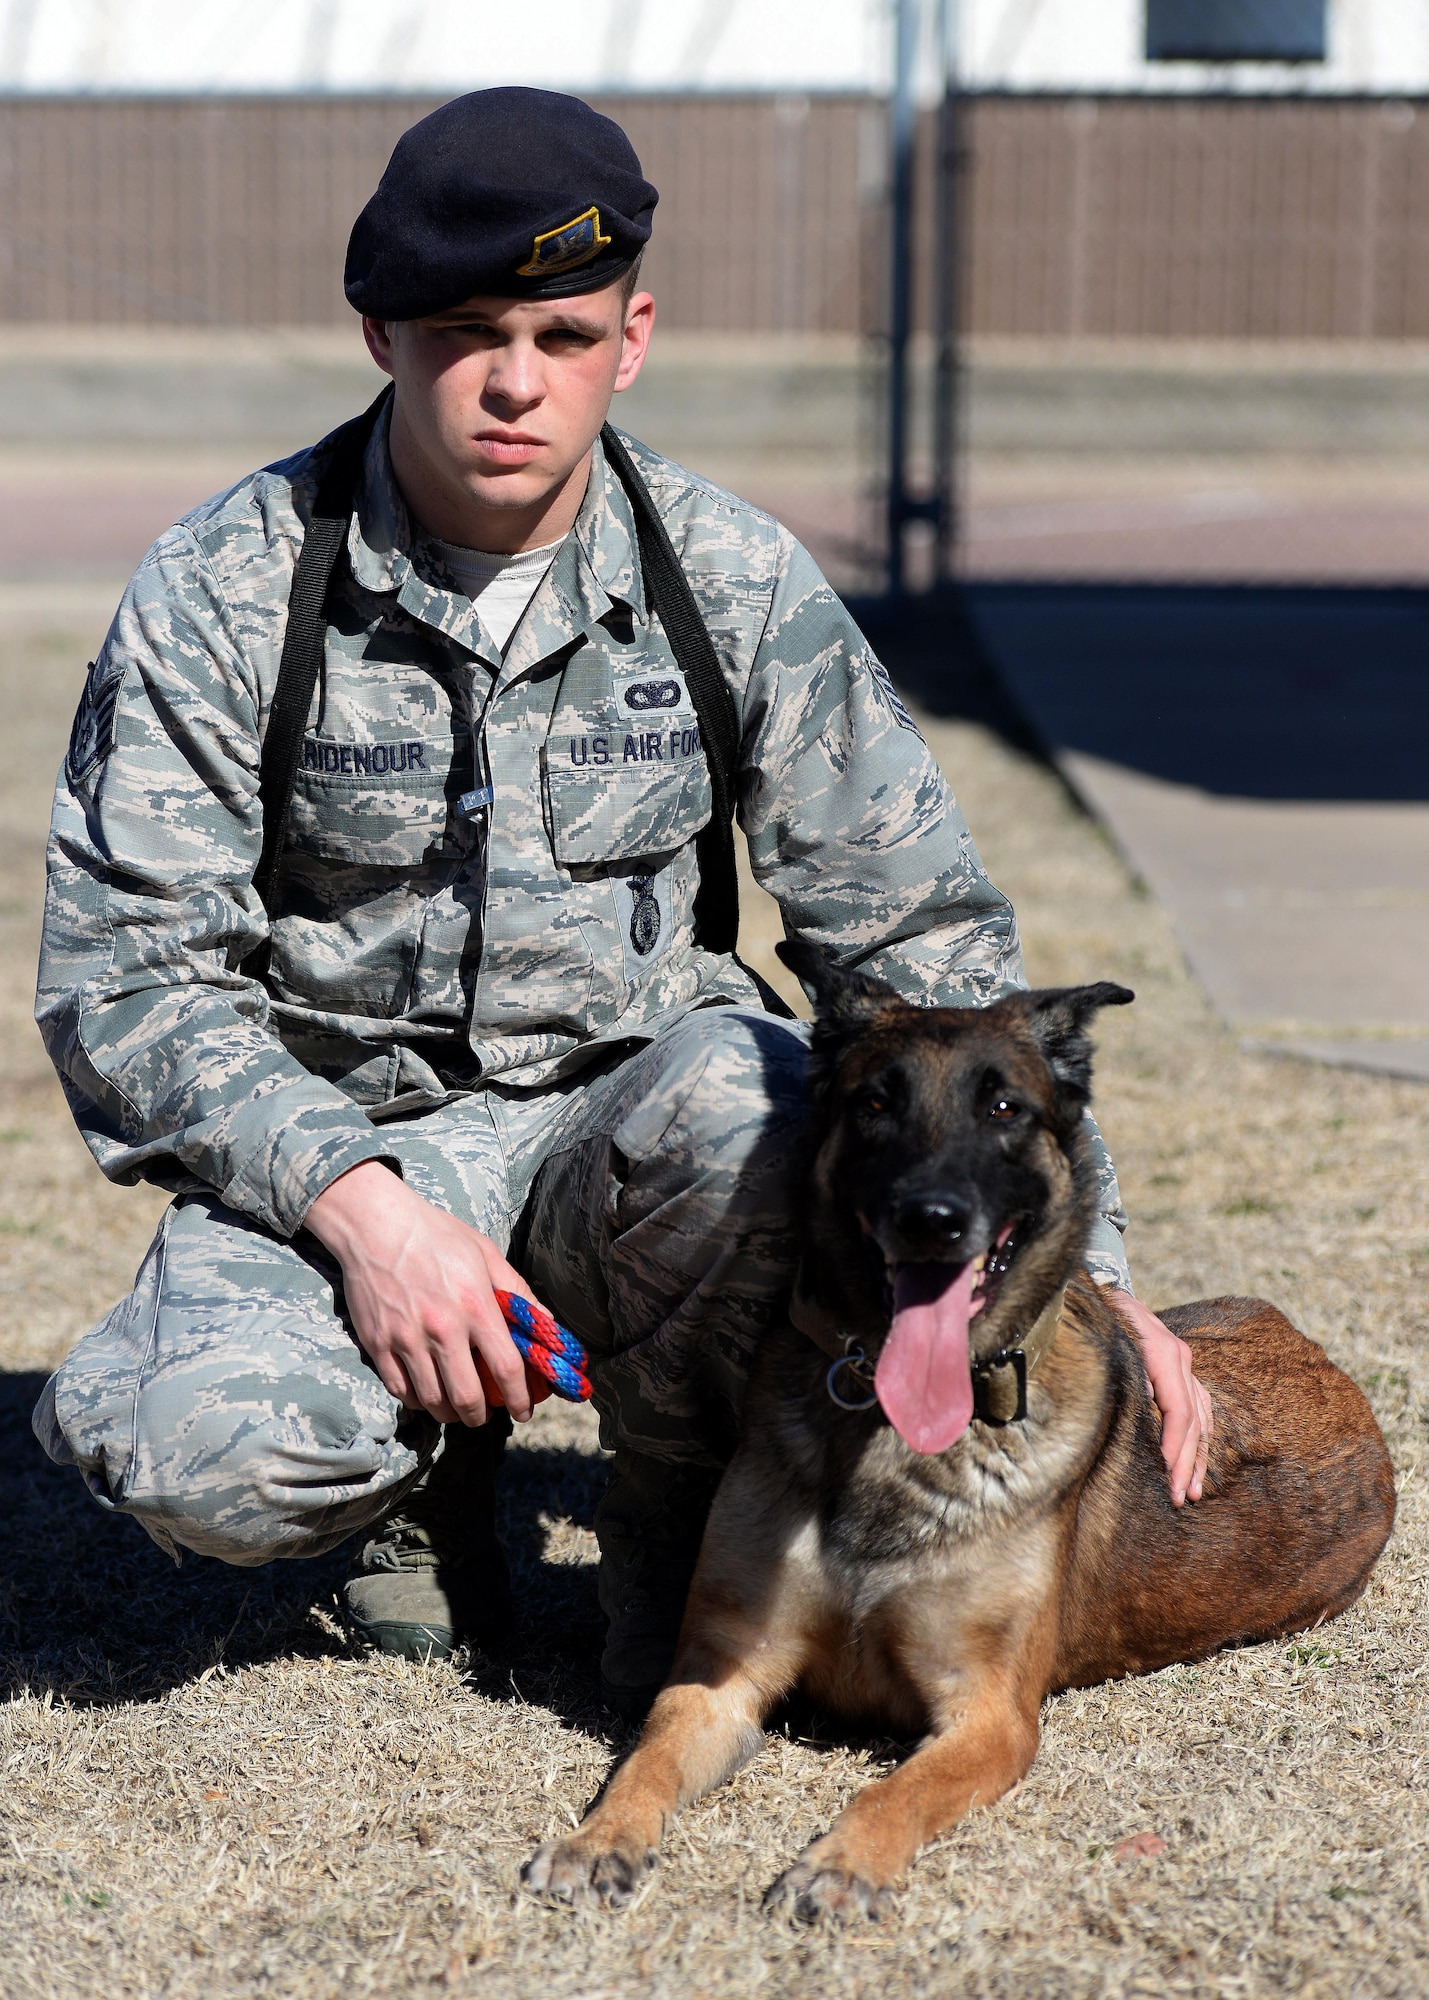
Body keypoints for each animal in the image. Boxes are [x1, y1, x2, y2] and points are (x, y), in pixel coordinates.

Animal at [524, 952, 1392, 1920]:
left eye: (1003, 1108)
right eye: (875, 1103)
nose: (930, 1219)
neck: (890, 1436)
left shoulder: (989, 1718)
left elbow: (893, 1791)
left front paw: (841, 1864)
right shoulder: (721, 1679)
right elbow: (643, 1763)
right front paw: (597, 1841)